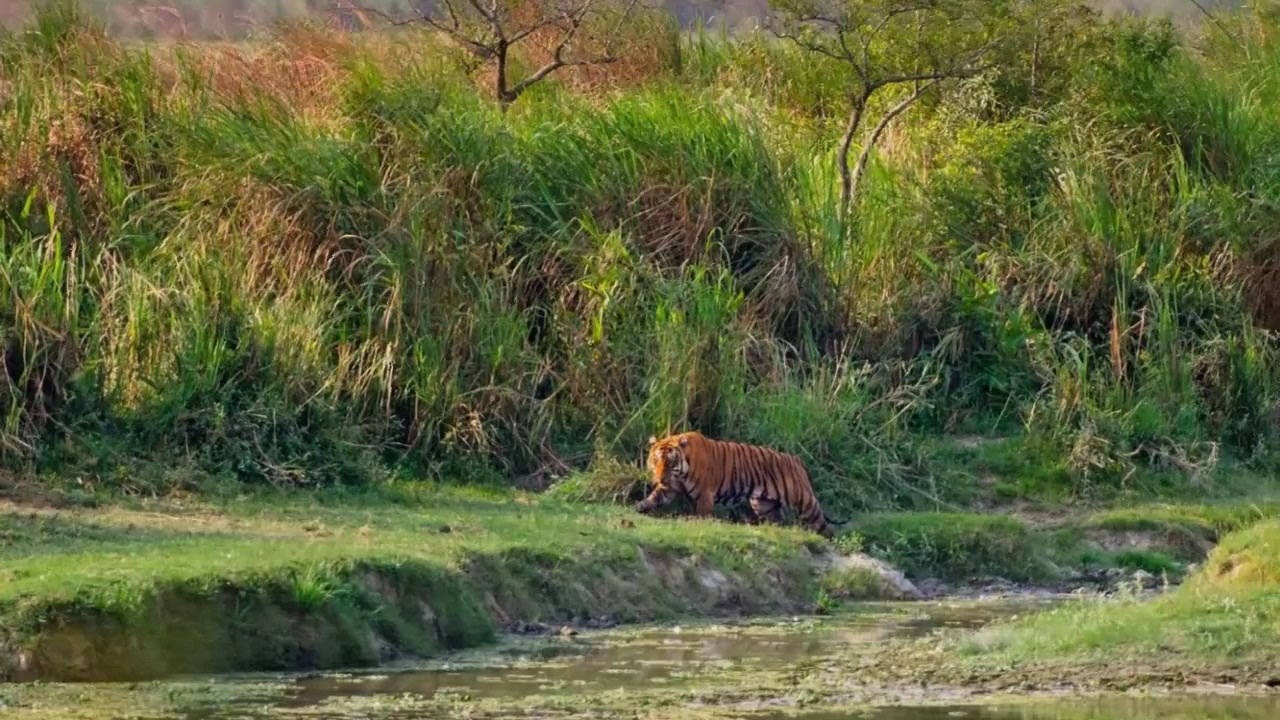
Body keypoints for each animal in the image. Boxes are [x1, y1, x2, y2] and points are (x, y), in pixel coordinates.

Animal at [637, 427, 839, 535]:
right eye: (656, 461)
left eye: (670, 462)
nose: (659, 478)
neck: (680, 473)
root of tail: (796, 459)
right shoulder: (670, 487)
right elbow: (655, 497)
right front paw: (640, 506)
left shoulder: (704, 493)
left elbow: (702, 513)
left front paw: (698, 522)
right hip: (763, 504)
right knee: (777, 520)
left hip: (803, 500)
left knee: (821, 522)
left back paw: (827, 538)